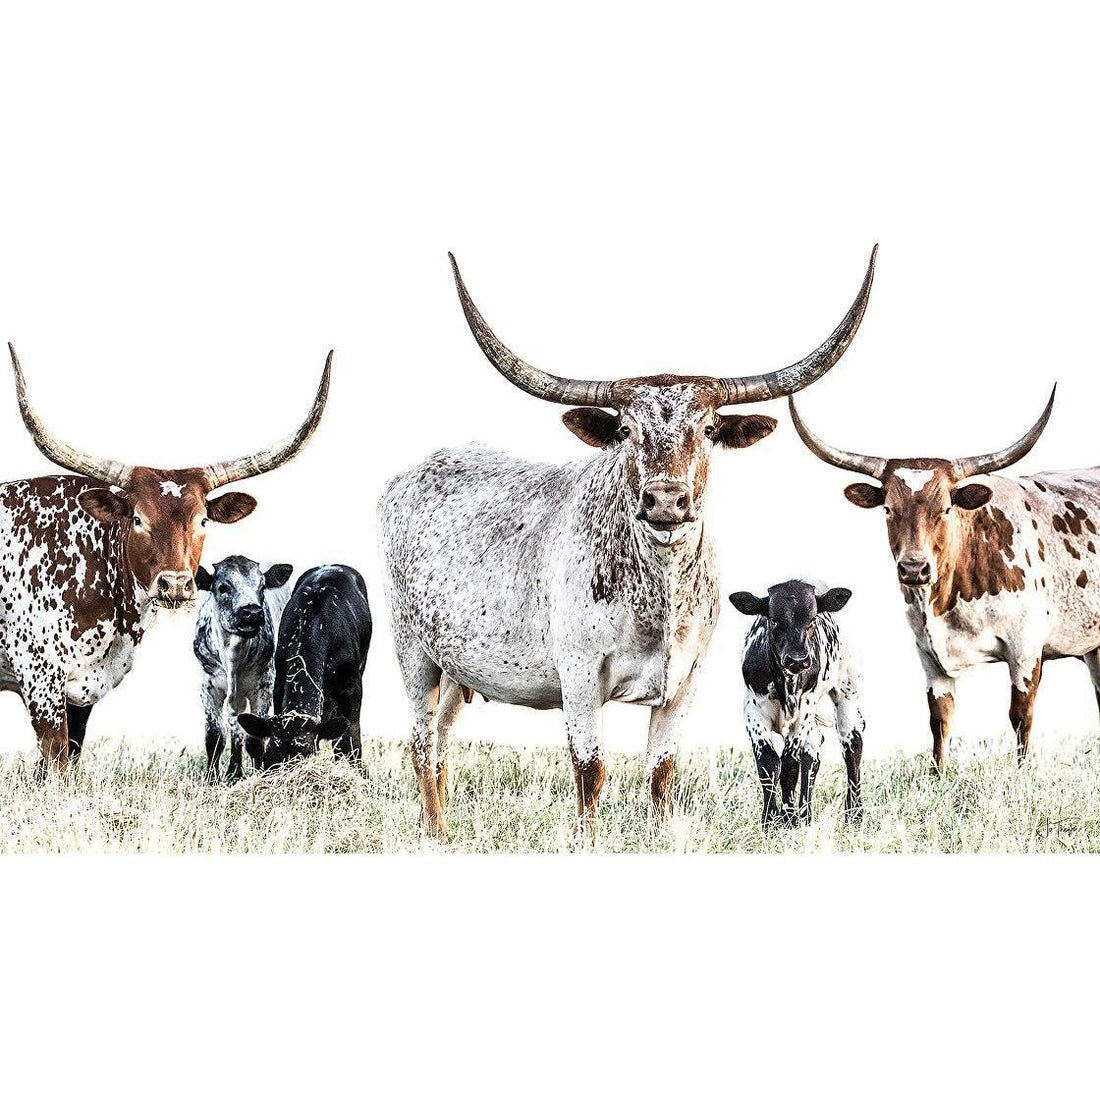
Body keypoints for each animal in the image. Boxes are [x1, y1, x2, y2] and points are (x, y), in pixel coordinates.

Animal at [193, 556, 294, 782]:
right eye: (223, 587)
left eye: (262, 586)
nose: (252, 612)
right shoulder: (208, 686)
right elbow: (215, 735)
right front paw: (213, 778)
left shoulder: (263, 685)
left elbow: (255, 738)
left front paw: (259, 774)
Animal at [729, 580, 863, 827]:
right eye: (774, 620)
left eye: (812, 620)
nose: (797, 660)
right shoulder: (753, 710)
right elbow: (769, 763)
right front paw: (771, 818)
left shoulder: (802, 715)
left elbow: (789, 765)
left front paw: (788, 819)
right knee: (813, 750)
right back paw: (806, 814)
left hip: (848, 692)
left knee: (852, 746)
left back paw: (854, 816)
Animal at [786, 386, 1085, 772]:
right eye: (888, 509)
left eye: (945, 508)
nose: (914, 568)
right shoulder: (928, 654)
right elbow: (939, 720)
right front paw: (939, 775)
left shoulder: (1025, 650)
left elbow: (1021, 717)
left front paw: (1021, 775)